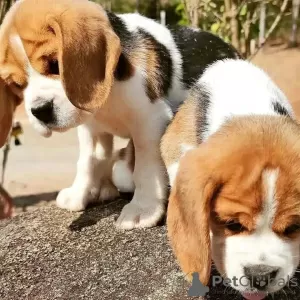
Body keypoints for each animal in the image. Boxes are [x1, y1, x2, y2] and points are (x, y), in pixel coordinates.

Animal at [0, 0, 239, 229]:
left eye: (55, 64)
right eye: (17, 85)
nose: (39, 110)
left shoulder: (150, 120)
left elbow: (146, 168)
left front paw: (143, 209)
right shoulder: (91, 130)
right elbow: (87, 161)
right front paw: (80, 193)